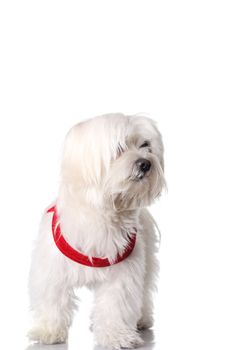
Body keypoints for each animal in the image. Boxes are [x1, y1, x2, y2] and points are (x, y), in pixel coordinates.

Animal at [27, 113, 166, 348]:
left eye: (146, 145)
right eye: (119, 148)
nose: (146, 163)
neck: (103, 213)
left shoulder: (122, 274)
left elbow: (116, 304)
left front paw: (116, 335)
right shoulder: (53, 269)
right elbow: (52, 299)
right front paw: (49, 330)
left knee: (145, 291)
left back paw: (142, 319)